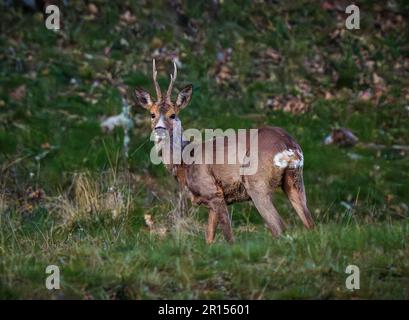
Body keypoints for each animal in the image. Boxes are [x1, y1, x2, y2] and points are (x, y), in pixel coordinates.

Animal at [135, 60, 314, 244]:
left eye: (173, 115)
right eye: (152, 114)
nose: (159, 129)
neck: (185, 163)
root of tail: (288, 144)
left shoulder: (213, 192)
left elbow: (229, 238)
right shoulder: (212, 201)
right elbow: (208, 238)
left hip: (256, 182)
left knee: (279, 227)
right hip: (295, 179)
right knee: (310, 223)